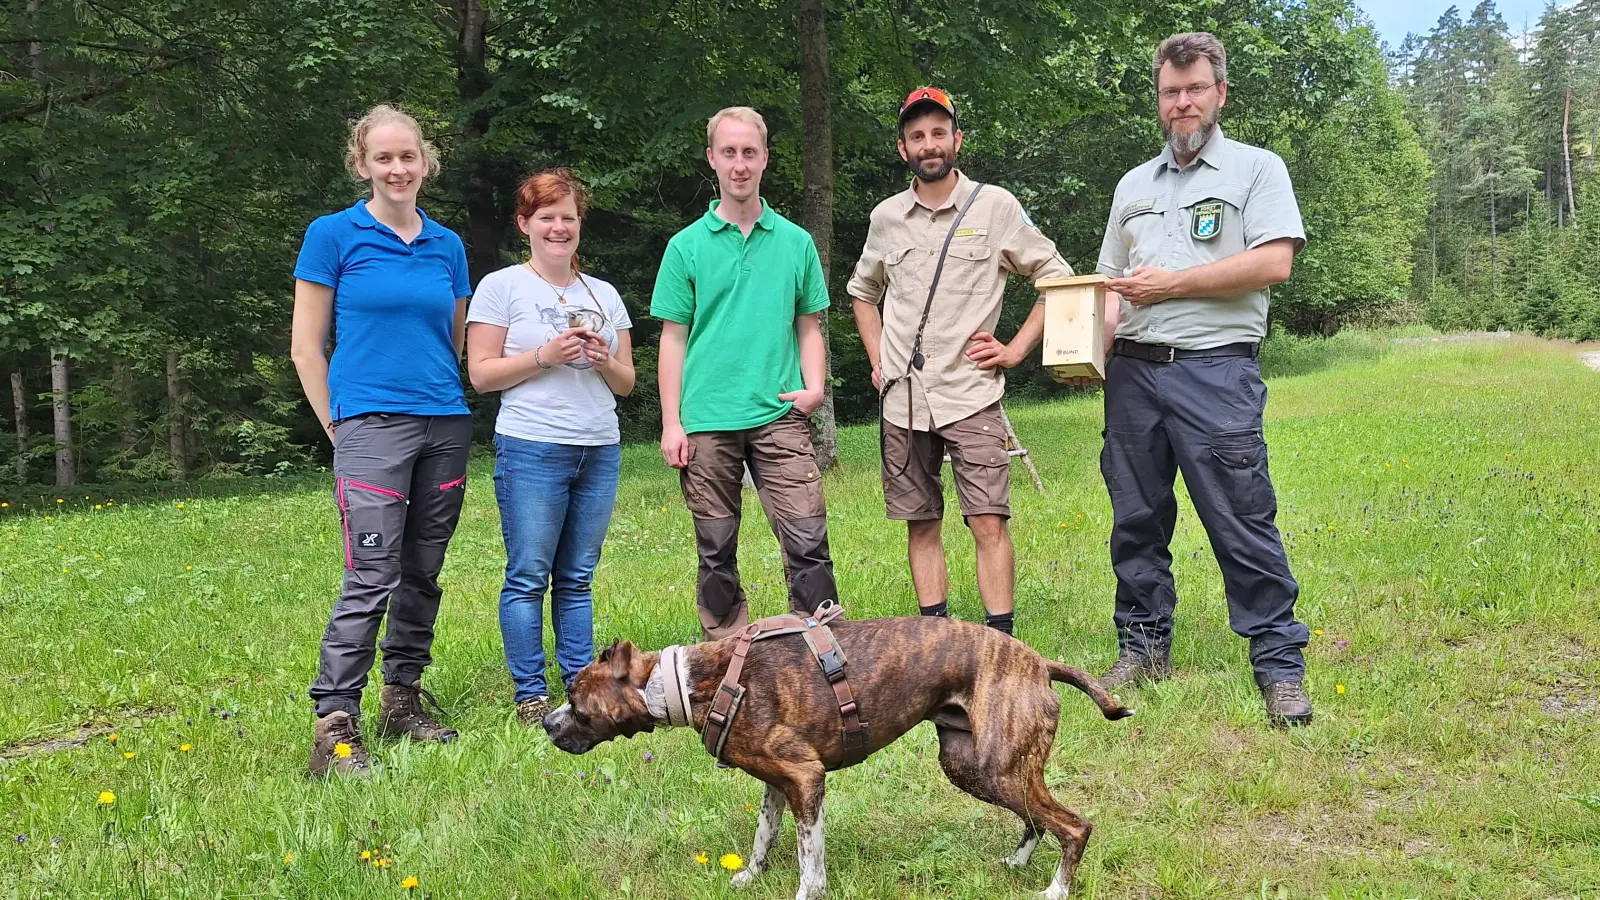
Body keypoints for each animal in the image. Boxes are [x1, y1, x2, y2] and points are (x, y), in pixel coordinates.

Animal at [544, 614, 1132, 896]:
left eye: (575, 700)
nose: (548, 726)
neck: (692, 682)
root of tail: (1039, 663)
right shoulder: (776, 785)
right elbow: (763, 838)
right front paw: (750, 877)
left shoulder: (806, 779)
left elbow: (811, 861)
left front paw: (807, 892)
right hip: (977, 768)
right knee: (1035, 819)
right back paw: (1018, 862)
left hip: (999, 767)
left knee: (1073, 826)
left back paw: (1055, 890)